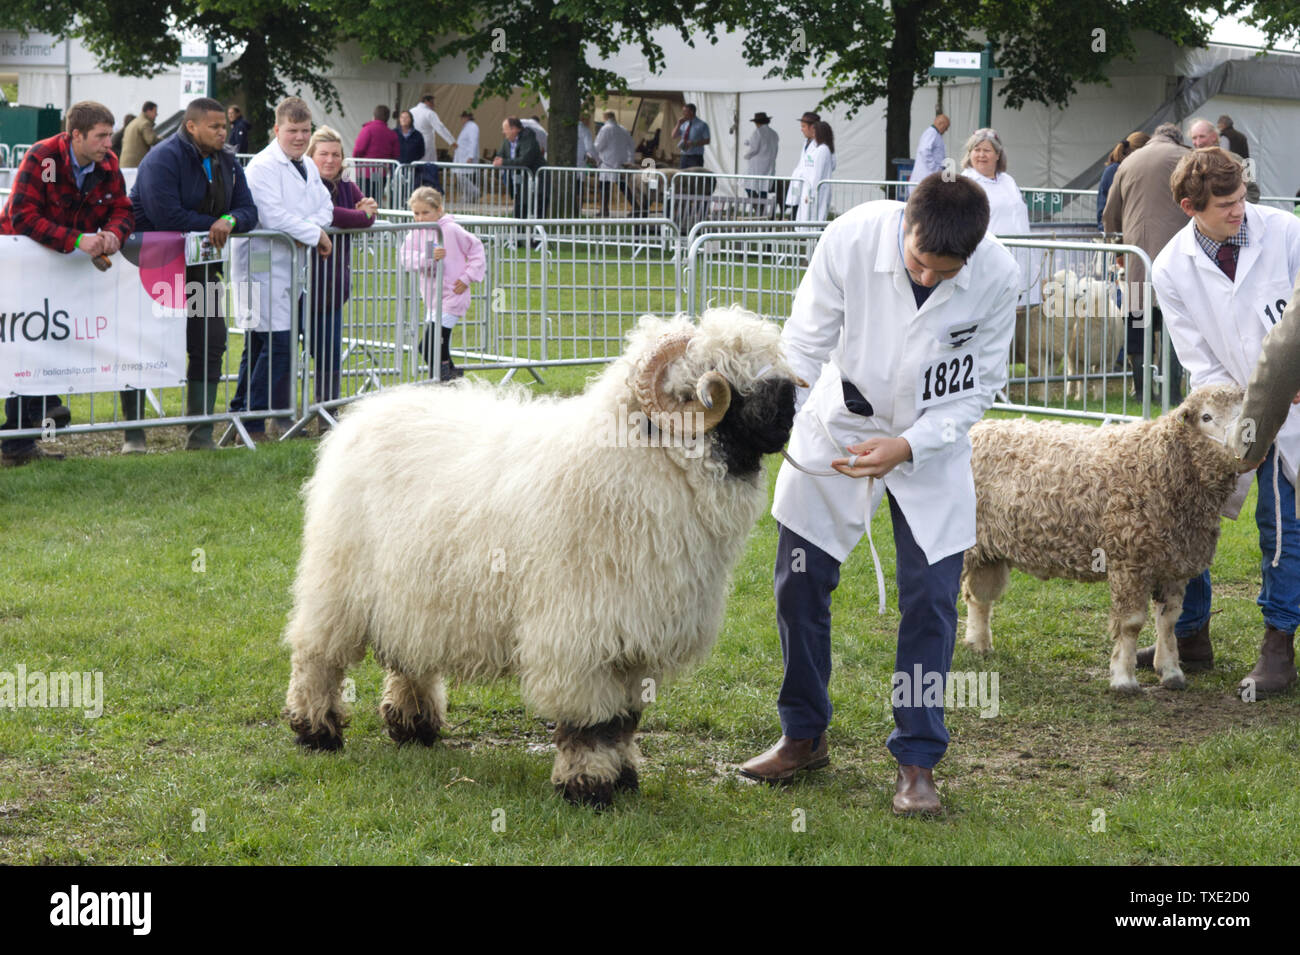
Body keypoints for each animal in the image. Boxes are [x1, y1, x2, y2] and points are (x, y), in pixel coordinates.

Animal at [284, 306, 800, 805]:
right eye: (720, 378)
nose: (792, 409)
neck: (644, 465)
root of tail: (366, 411)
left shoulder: (634, 634)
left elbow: (626, 719)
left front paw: (625, 777)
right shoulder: (579, 634)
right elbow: (593, 723)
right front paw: (588, 788)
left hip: (415, 589)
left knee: (410, 652)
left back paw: (414, 727)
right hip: (338, 580)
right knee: (317, 655)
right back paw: (316, 732)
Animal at [961, 384, 1242, 691]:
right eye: (1206, 417)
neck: (1158, 460)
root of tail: (979, 428)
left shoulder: (1174, 565)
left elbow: (1168, 621)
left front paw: (1171, 672)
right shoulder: (1129, 563)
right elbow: (1131, 623)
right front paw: (1124, 678)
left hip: (987, 549)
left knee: (978, 596)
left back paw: (979, 645)